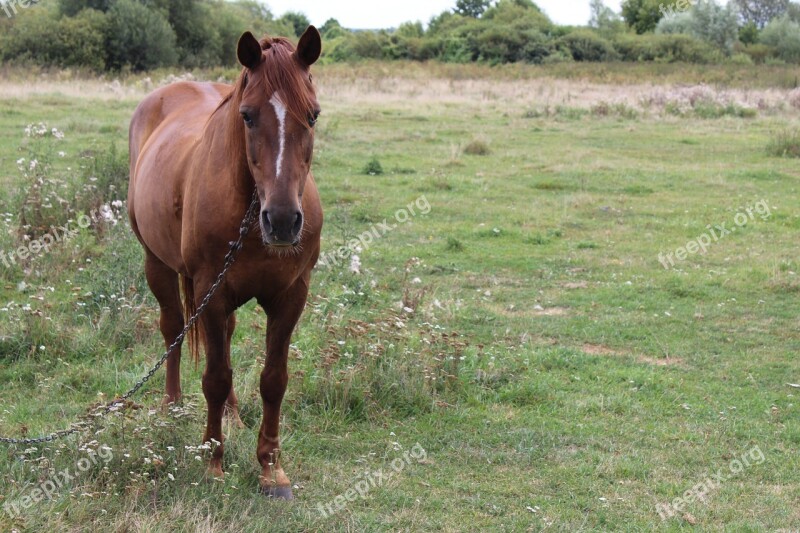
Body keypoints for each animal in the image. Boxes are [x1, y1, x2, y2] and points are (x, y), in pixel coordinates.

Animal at [128, 27, 322, 496]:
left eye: (313, 116)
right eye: (247, 116)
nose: (283, 221)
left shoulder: (291, 297)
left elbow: (273, 380)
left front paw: (271, 468)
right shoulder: (209, 294)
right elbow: (215, 378)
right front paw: (213, 463)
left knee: (228, 340)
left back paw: (234, 415)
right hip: (157, 264)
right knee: (172, 329)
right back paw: (172, 403)